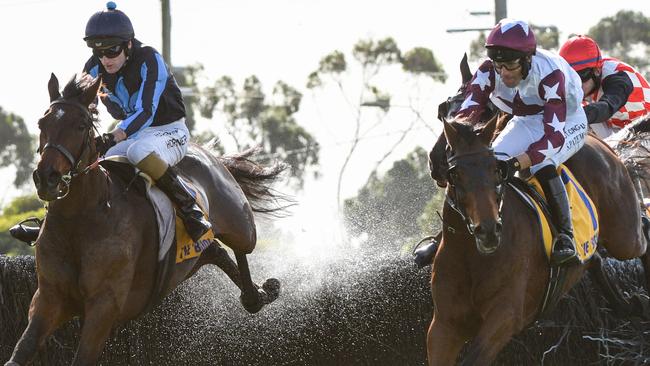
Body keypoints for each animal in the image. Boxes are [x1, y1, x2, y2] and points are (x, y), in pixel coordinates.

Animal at [5, 74, 284, 366]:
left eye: (81, 126)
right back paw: (253, 293)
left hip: (239, 223)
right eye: (42, 123)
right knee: (215, 251)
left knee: (242, 246)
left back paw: (258, 294)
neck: (80, 218)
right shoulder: (49, 297)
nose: (47, 178)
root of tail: (210, 154)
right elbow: (20, 352)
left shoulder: (104, 305)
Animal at [426, 115, 648, 366]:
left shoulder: (505, 316)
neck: (470, 257)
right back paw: (629, 305)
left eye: (495, 170)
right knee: (596, 261)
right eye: (456, 174)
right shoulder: (443, 326)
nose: (488, 231)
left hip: (623, 235)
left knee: (641, 227)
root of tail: (596, 140)